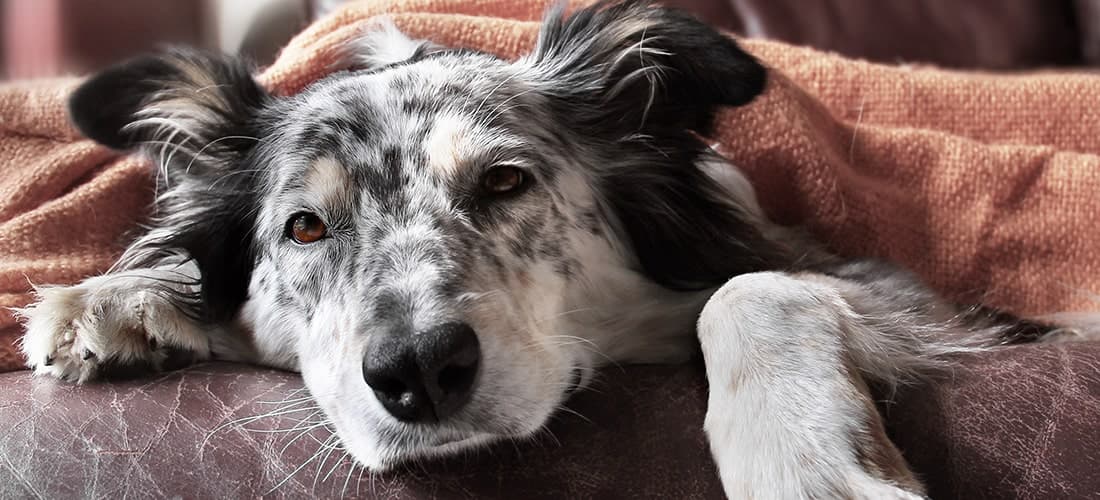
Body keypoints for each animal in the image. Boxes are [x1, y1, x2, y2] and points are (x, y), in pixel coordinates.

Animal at [15, 1, 1091, 498]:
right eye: (305, 227)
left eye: (503, 182)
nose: (417, 372)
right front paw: (115, 299)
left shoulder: (895, 291)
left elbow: (751, 287)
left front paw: (804, 464)